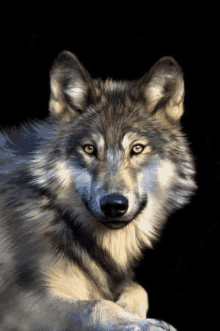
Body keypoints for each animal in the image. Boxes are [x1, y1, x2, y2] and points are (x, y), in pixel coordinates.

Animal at [0, 50, 196, 330]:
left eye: (137, 148)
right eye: (90, 149)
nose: (114, 205)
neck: (58, 215)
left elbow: (138, 289)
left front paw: (132, 314)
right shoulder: (18, 303)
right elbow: (96, 305)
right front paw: (143, 323)